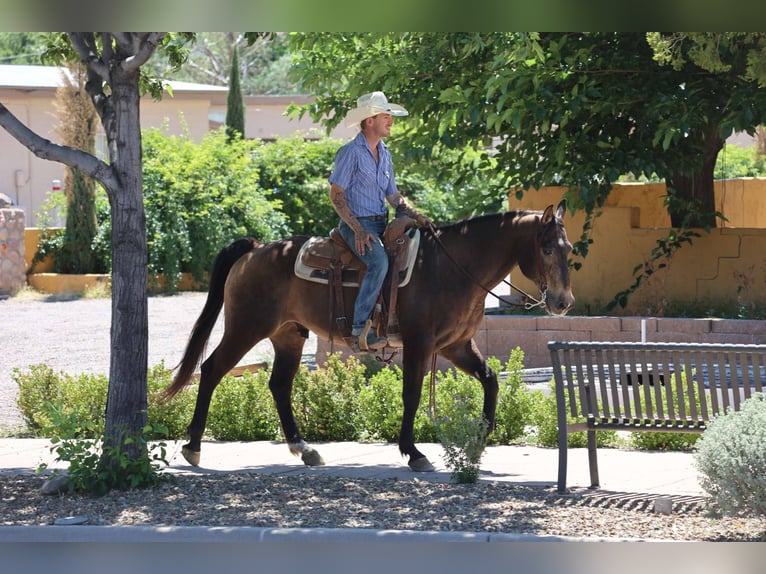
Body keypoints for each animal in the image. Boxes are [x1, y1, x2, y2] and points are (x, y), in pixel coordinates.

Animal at [162, 199, 574, 472]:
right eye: (546, 248)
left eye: (569, 248)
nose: (563, 302)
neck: (451, 268)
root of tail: (257, 248)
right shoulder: (420, 343)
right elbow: (411, 395)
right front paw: (413, 452)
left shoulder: (456, 345)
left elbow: (490, 380)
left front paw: (478, 442)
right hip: (246, 328)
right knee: (212, 370)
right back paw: (193, 447)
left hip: (288, 336)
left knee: (279, 385)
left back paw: (304, 449)